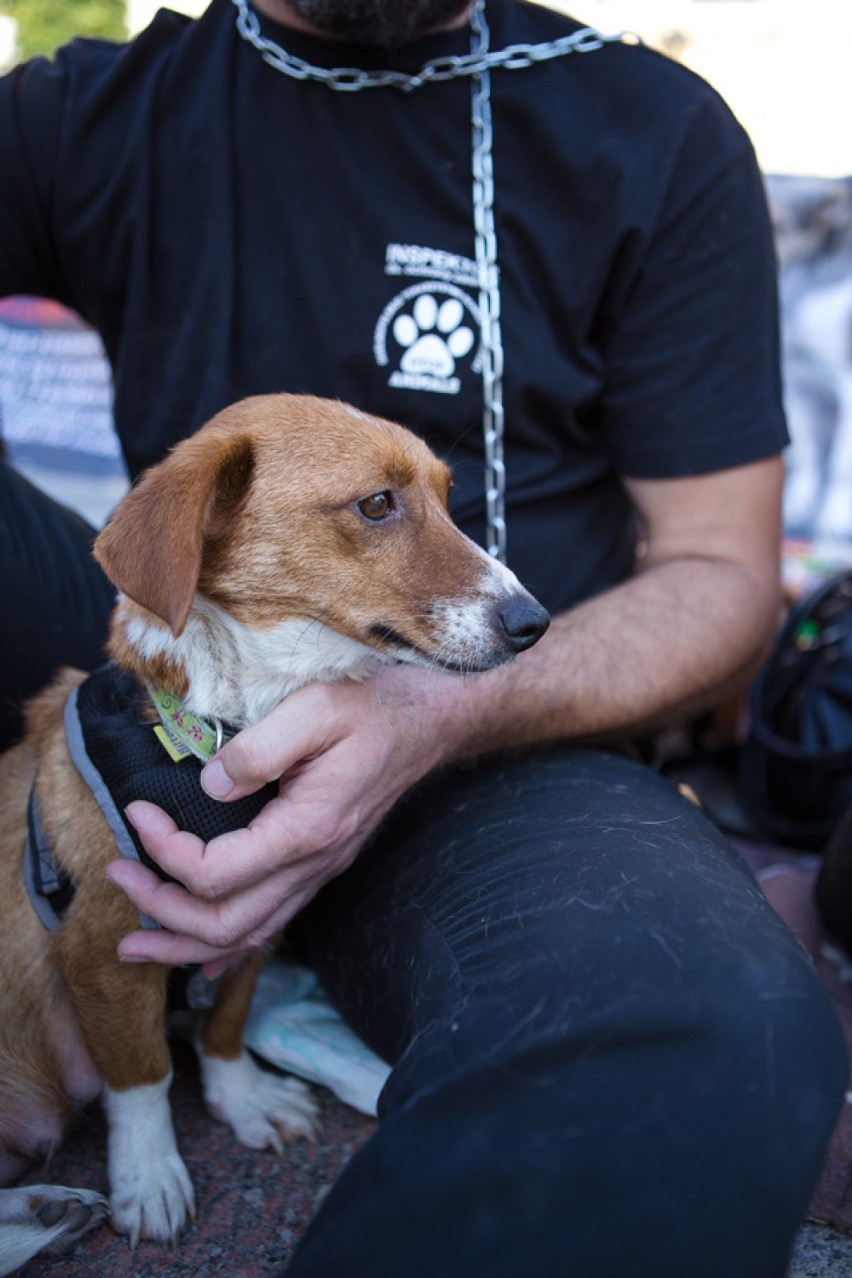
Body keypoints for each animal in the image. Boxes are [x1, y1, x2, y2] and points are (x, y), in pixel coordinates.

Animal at [0, 396, 549, 1267]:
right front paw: (150, 1174)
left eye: (447, 494)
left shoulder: (258, 918)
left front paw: (244, 1096)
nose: (537, 623)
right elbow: (143, 1073)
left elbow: (223, 1023)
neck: (229, 723)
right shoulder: (105, 954)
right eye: (377, 504)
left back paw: (43, 1211)